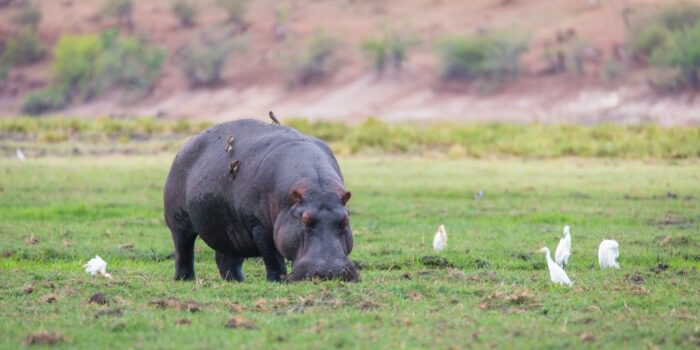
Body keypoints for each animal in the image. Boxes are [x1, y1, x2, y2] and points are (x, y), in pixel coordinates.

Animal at [162, 119, 358, 284]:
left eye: (345, 220)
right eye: (305, 220)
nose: (330, 273)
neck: (316, 187)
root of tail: (186, 144)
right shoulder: (260, 226)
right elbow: (273, 256)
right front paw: (277, 281)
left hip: (229, 230)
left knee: (226, 258)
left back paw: (237, 281)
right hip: (178, 220)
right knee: (183, 250)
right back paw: (184, 279)